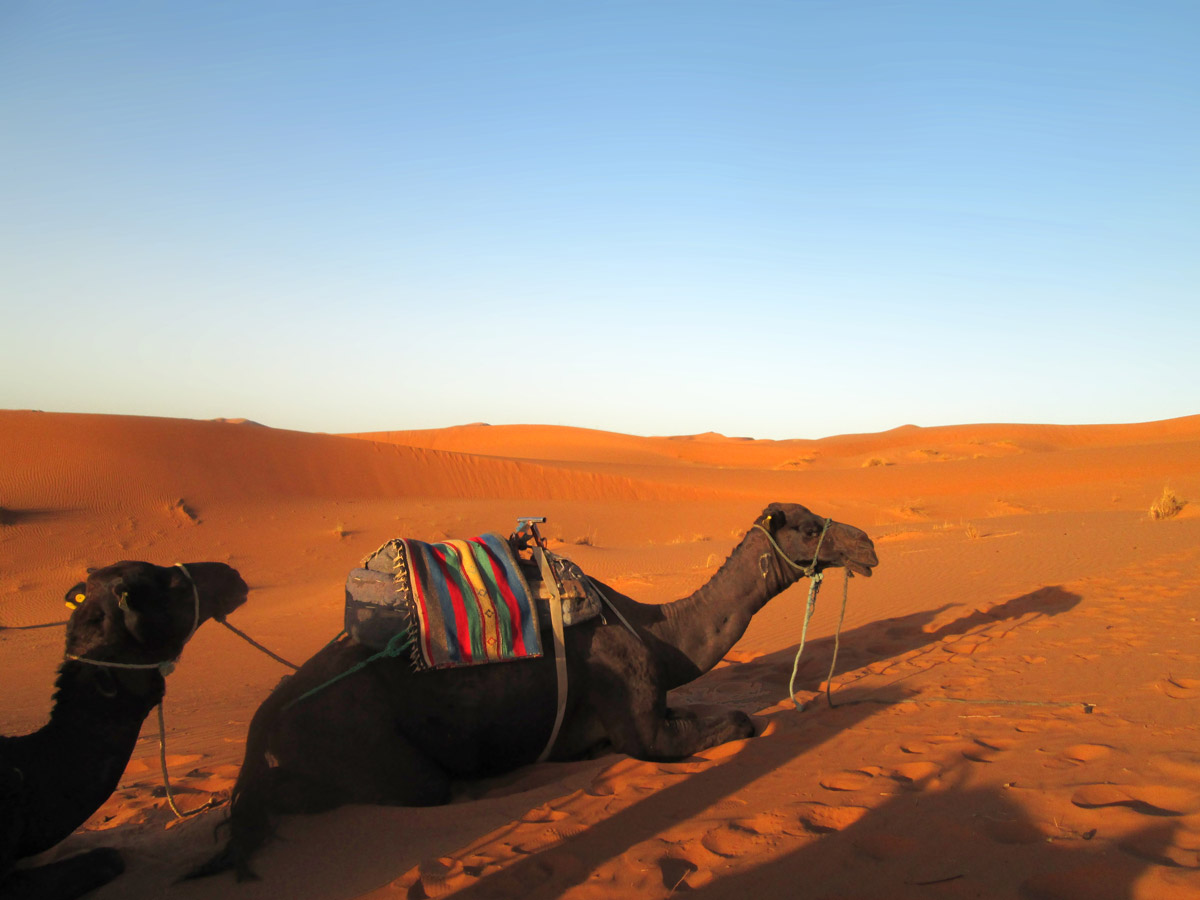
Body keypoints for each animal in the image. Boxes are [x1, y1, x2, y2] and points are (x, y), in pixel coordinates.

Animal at [194, 504, 873, 883]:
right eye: (810, 527)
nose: (866, 545)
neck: (657, 634)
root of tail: (267, 714)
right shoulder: (643, 725)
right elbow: (739, 721)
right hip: (369, 751)